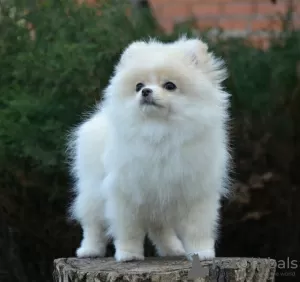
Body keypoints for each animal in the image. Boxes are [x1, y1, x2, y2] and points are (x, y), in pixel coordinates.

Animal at [68, 35, 232, 262]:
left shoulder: (196, 192)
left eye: (170, 85)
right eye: (138, 86)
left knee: (159, 229)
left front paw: (201, 253)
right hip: (93, 191)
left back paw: (173, 249)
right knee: (93, 225)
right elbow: (128, 229)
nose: (146, 91)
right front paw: (128, 254)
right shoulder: (125, 192)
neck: (158, 130)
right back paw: (89, 250)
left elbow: (196, 229)